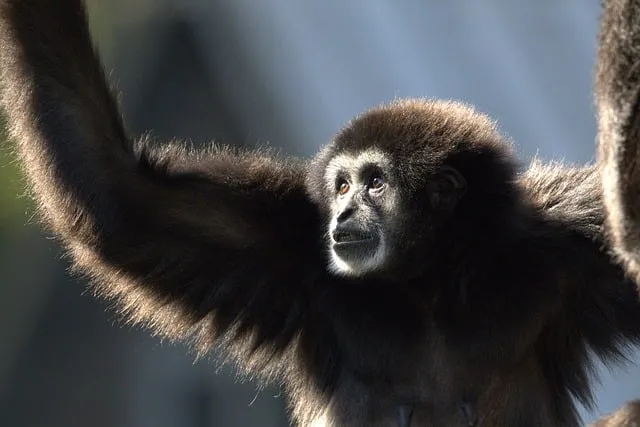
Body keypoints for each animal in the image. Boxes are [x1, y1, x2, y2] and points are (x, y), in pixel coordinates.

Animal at [2, 0, 640, 426]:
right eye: (341, 186)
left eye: (375, 183)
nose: (344, 213)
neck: (426, 283)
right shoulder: (286, 247)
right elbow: (117, 194)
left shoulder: (566, 244)